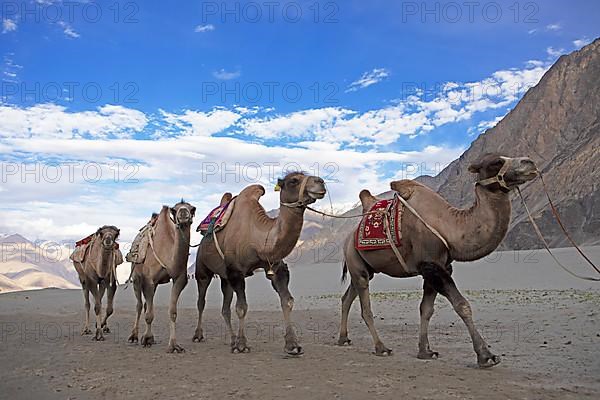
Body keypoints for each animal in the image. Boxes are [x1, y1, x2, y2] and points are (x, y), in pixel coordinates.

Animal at [127, 200, 196, 354]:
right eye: (174, 210)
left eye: (193, 209)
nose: (183, 213)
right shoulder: (148, 280)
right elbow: (149, 315)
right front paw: (147, 340)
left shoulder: (179, 279)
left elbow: (172, 312)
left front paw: (174, 345)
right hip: (136, 277)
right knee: (139, 305)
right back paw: (134, 336)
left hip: (155, 284)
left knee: (146, 305)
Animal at [193, 171, 326, 354]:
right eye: (293, 180)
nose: (321, 182)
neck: (258, 238)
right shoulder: (236, 271)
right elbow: (241, 307)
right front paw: (242, 345)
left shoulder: (275, 266)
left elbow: (287, 300)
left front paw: (292, 344)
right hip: (202, 269)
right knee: (201, 301)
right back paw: (199, 336)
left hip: (225, 277)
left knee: (225, 308)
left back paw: (232, 340)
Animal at [338, 155, 540, 368]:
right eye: (496, 163)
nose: (529, 162)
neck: (449, 226)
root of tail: (348, 238)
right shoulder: (430, 264)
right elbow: (462, 305)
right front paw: (486, 356)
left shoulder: (439, 267)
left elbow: (426, 309)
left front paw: (425, 351)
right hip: (355, 261)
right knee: (365, 307)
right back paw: (381, 348)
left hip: (365, 268)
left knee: (347, 297)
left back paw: (343, 339)